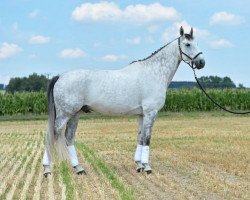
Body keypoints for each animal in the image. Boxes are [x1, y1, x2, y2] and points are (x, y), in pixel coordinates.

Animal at [42, 26, 205, 177]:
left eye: (197, 42)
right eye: (187, 44)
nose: (201, 62)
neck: (153, 72)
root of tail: (60, 76)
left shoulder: (142, 115)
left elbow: (140, 137)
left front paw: (139, 165)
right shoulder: (151, 113)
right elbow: (147, 139)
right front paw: (147, 167)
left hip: (75, 114)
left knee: (69, 138)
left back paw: (79, 169)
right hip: (64, 115)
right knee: (50, 137)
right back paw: (47, 169)